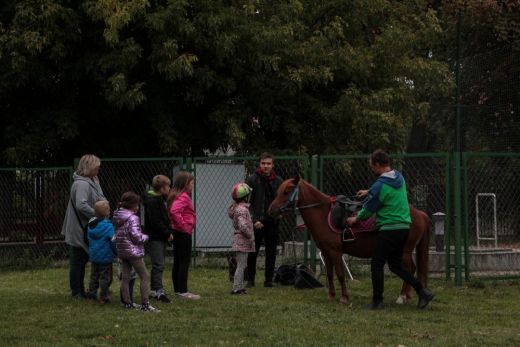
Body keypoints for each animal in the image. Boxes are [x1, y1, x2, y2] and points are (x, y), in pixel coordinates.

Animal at [268, 177, 430, 304]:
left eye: (286, 191)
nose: (271, 210)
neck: (323, 215)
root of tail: (420, 213)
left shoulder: (335, 252)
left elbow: (340, 275)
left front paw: (344, 297)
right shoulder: (326, 253)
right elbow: (330, 274)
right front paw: (331, 296)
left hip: (404, 252)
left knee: (410, 269)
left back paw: (402, 297)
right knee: (411, 269)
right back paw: (407, 295)